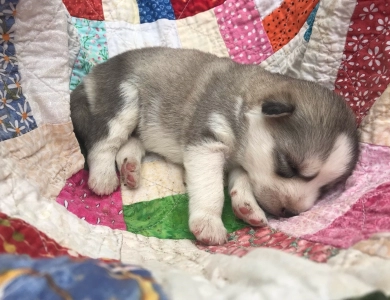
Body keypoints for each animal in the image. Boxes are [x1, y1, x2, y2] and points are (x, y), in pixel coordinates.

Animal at [71, 46, 360, 244]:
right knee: (104, 142)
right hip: (124, 100)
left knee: (129, 142)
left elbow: (242, 180)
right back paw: (103, 176)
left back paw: (129, 168)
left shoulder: (241, 160)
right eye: (288, 166)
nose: (290, 212)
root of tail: (90, 75)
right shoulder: (207, 143)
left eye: (325, 188)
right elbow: (211, 189)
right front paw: (209, 222)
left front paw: (247, 206)